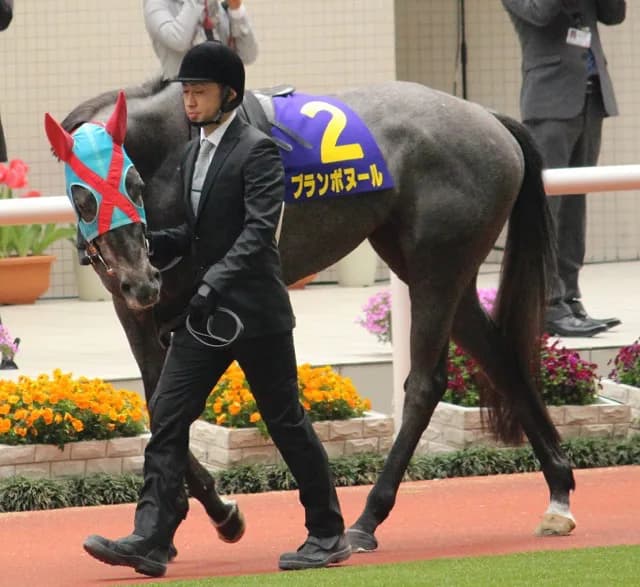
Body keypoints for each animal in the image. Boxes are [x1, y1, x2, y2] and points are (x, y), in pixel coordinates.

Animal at [49, 78, 577, 554]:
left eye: (133, 183)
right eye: (82, 197)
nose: (142, 280)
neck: (179, 150)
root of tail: (490, 119)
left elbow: (170, 402)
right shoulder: (134, 310)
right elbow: (161, 403)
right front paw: (209, 515)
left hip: (437, 267)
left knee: (426, 384)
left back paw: (367, 520)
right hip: (437, 267)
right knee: (501, 358)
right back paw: (558, 493)